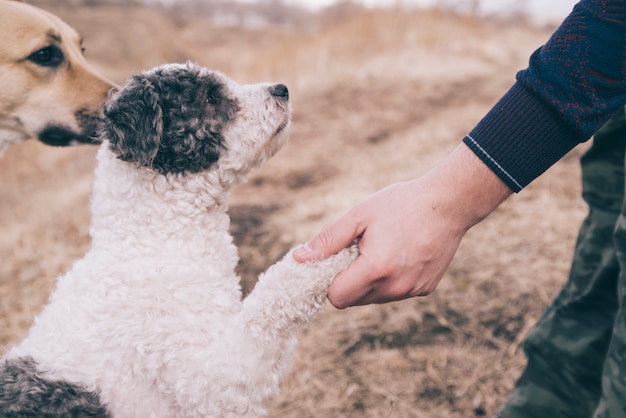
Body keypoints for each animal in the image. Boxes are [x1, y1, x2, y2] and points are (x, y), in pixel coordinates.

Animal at [0, 62, 356, 418]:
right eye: (209, 97)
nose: (282, 89)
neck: (155, 242)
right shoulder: (213, 384)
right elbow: (270, 301)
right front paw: (334, 258)